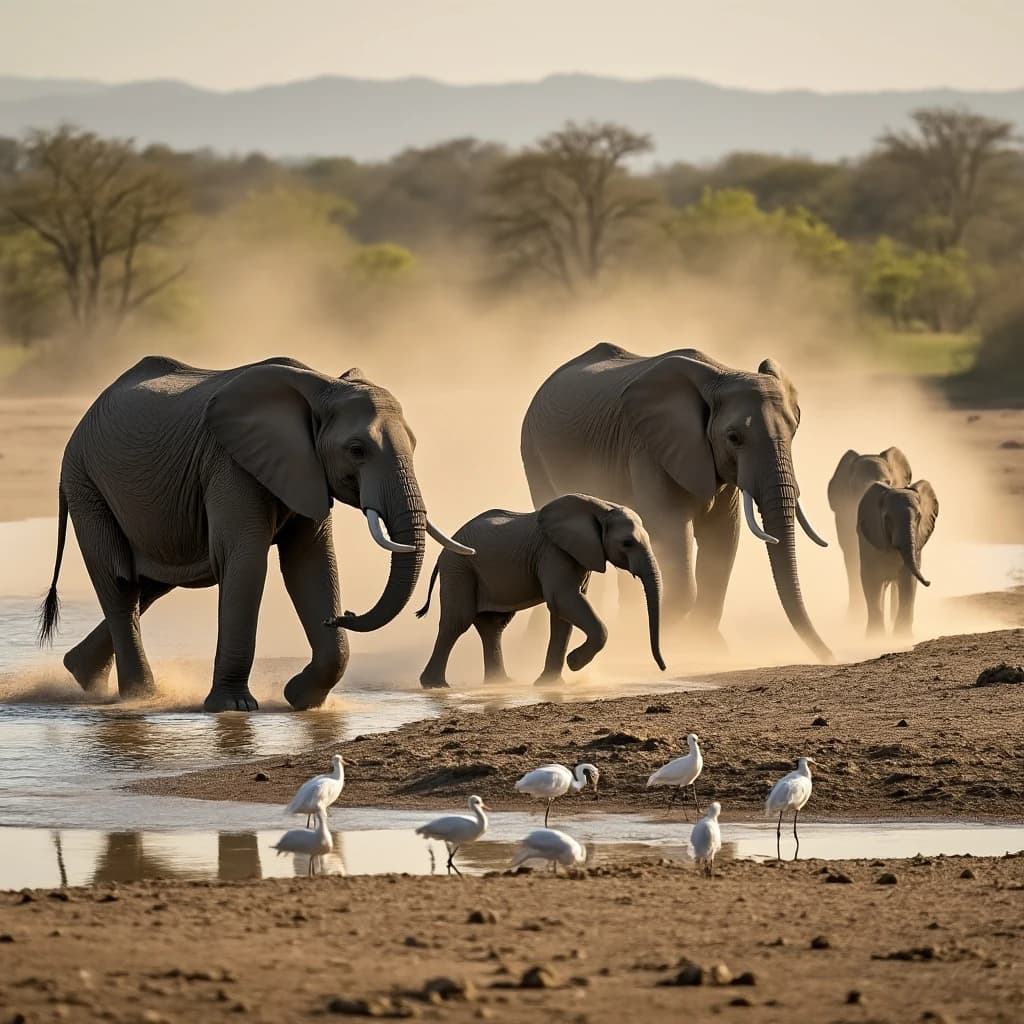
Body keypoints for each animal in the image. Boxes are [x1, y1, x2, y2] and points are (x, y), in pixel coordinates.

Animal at [38, 355, 470, 712]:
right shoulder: (230, 464)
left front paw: (300, 699)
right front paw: (234, 708)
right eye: (357, 449)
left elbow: (310, 565)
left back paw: (81, 674)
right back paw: (142, 698)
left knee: (151, 584)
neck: (321, 386)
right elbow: (246, 563)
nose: (342, 615)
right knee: (120, 581)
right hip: (86, 484)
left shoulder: (303, 469)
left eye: (414, 444)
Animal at [415, 493, 665, 688]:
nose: (662, 667)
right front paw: (574, 663)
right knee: (457, 622)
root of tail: (443, 551)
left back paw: (501, 683)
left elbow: (564, 612)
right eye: (627, 543)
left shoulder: (576, 554)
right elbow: (563, 600)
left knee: (492, 626)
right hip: (459, 568)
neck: (601, 507)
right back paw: (436, 685)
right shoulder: (554, 551)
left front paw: (550, 683)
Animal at [520, 343, 832, 662]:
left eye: (793, 431)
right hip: (533, 452)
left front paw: (706, 648)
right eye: (734, 437)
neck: (720, 375)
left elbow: (721, 541)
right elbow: (672, 535)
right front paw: (663, 643)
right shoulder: (649, 450)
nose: (829, 655)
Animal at [857, 480, 938, 637]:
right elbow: (871, 581)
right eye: (887, 518)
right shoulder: (870, 541)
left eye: (919, 516)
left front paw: (902, 637)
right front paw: (875, 638)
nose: (929, 582)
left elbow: (908, 582)